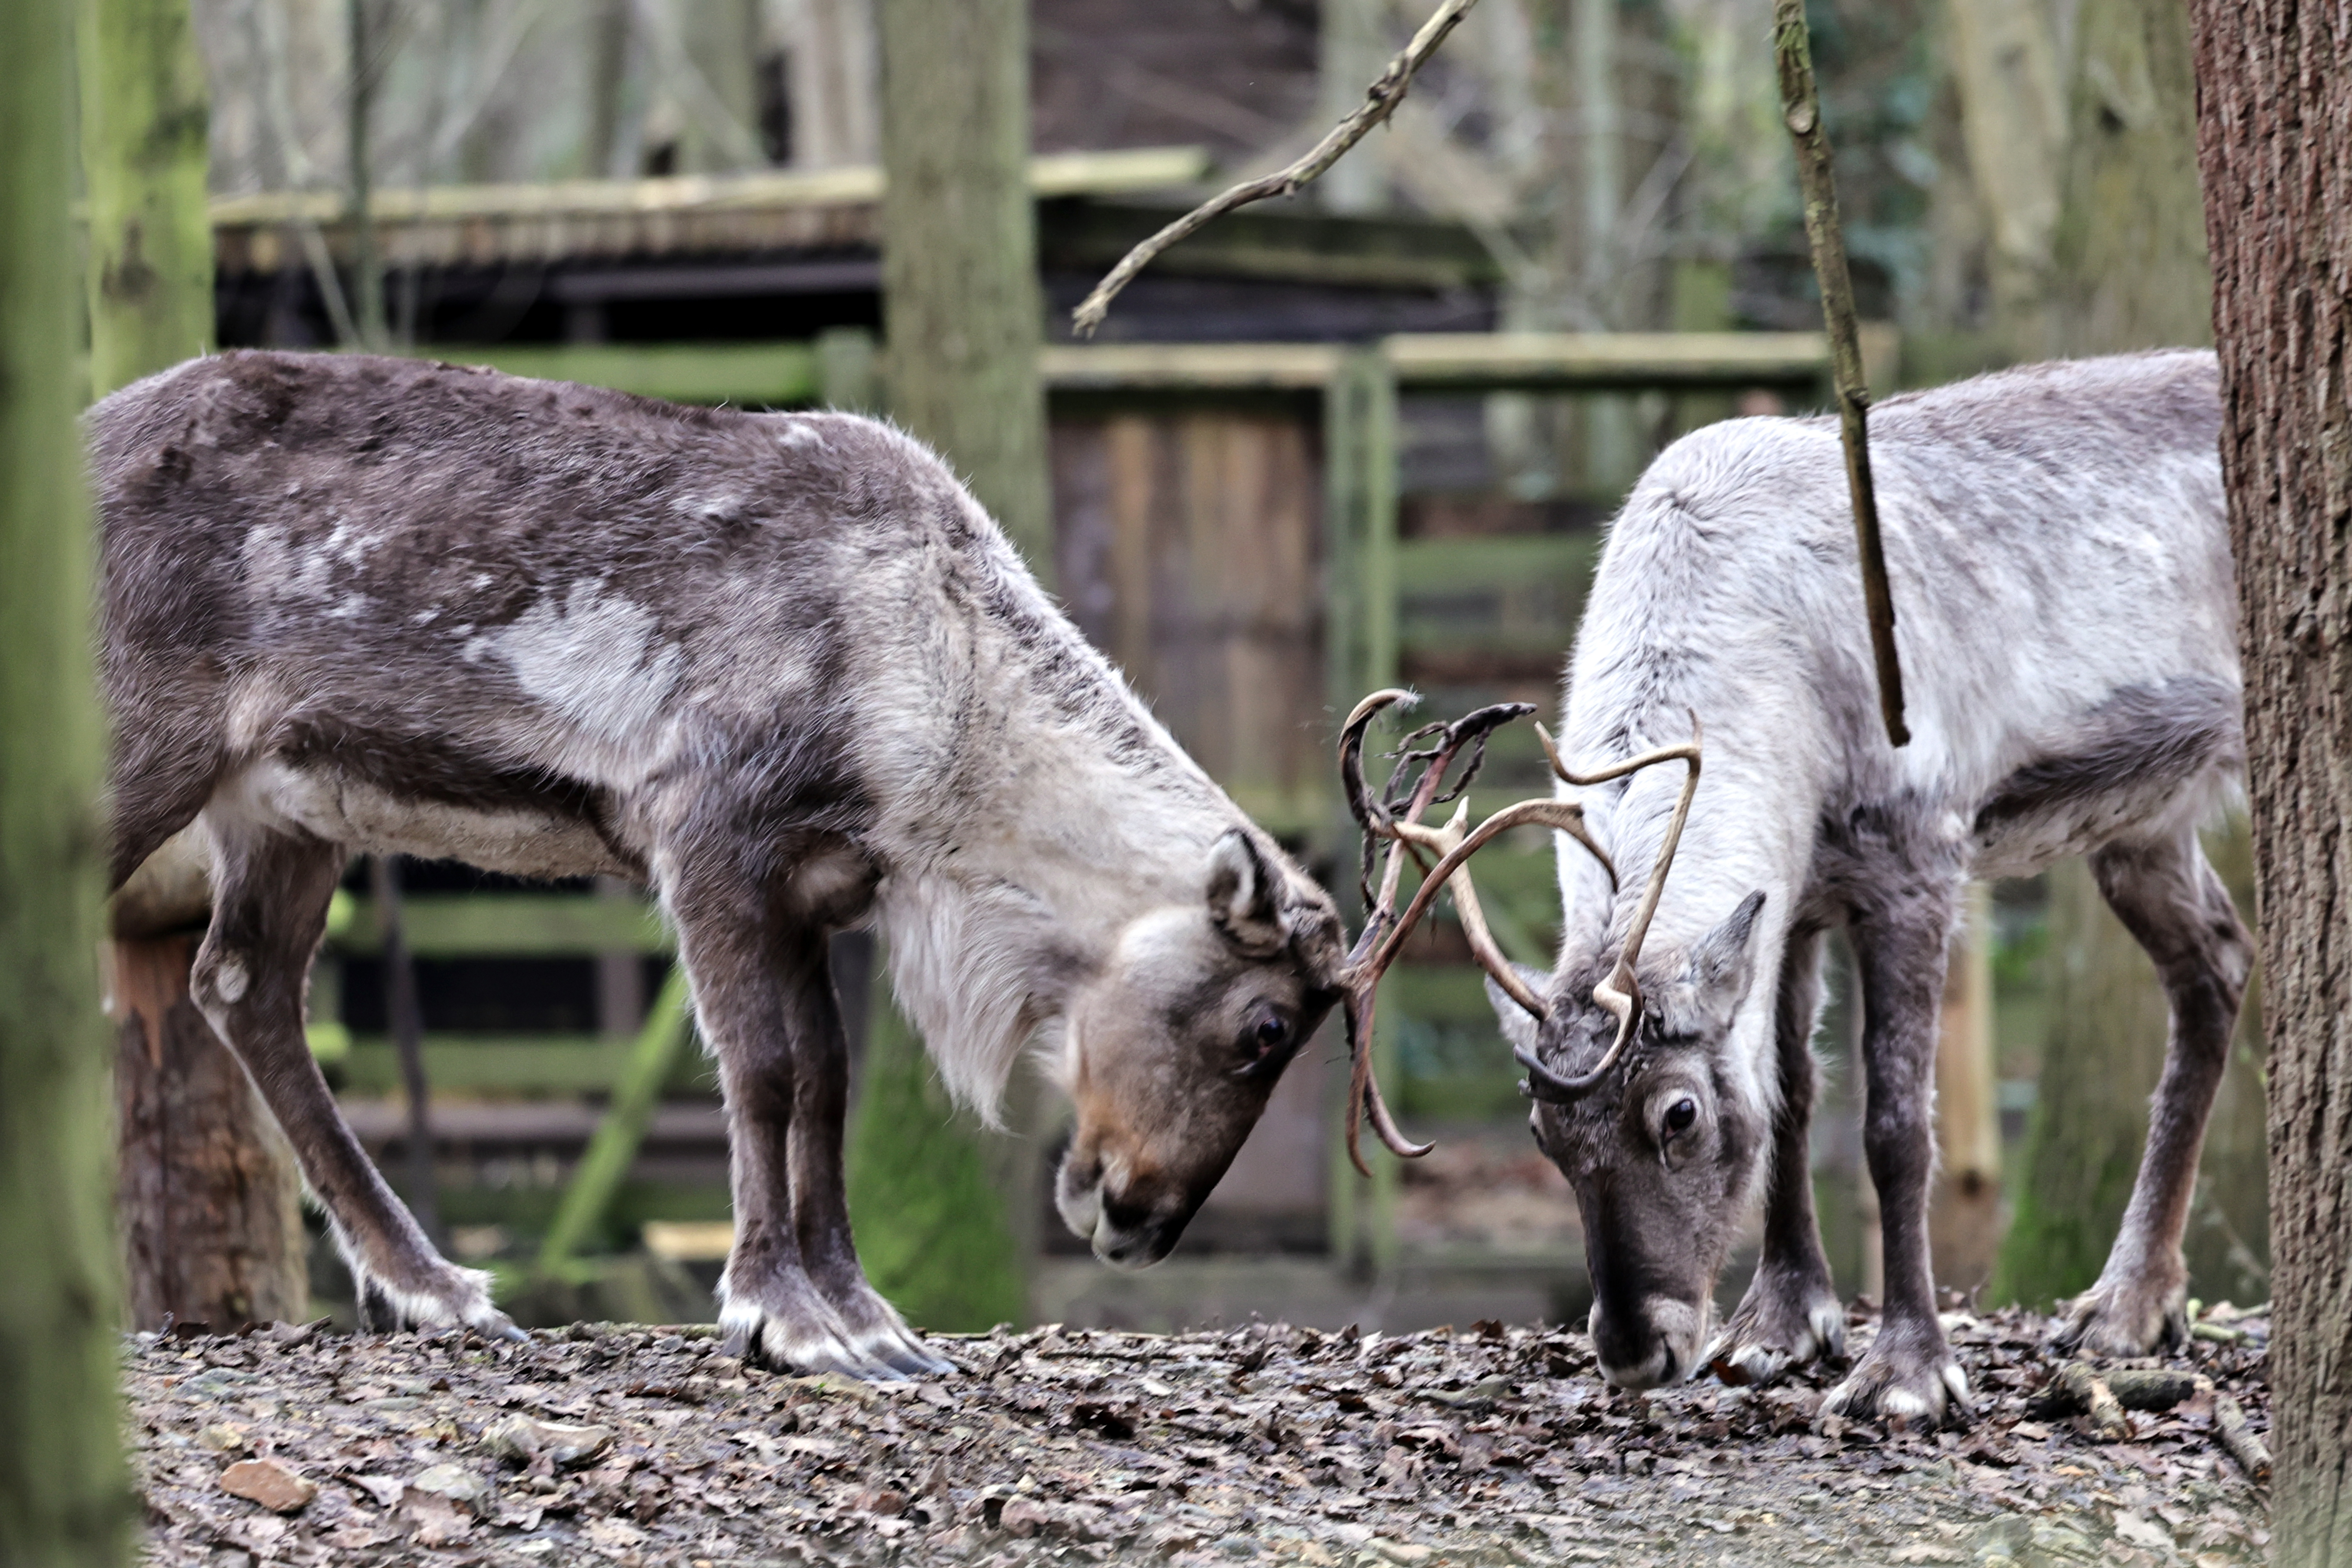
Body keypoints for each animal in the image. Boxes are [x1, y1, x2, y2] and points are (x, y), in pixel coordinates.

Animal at [91, 348, 1447, 1379]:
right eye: (1264, 1028)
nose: (1139, 1220)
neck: (937, 704)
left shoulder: (814, 888)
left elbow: (828, 1079)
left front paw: (870, 1317)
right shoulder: (706, 834)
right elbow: (764, 1071)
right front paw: (781, 1313)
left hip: (285, 808)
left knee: (240, 983)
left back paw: (437, 1288)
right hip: (142, 750)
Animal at [1339, 349, 2245, 1425]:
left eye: (1678, 1115)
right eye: (1542, 1131)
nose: (1638, 1350)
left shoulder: (1915, 855)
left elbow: (1894, 1123)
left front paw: (1907, 1372)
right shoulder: (1795, 896)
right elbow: (1792, 1096)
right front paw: (1778, 1326)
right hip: (2142, 821)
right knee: (2218, 966)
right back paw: (2130, 1305)